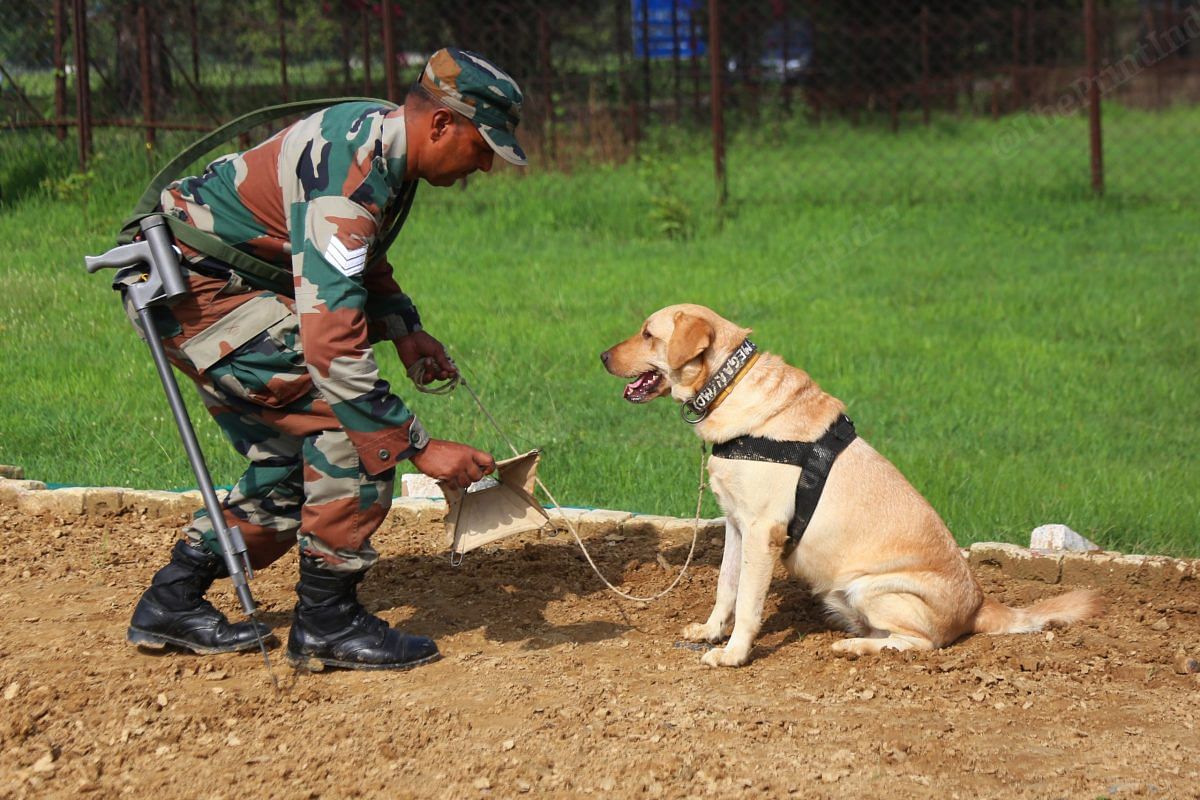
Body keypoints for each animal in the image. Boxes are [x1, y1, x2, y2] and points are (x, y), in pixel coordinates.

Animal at [604, 307, 1099, 671]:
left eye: (647, 334)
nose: (602, 355)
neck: (729, 387)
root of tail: (979, 605)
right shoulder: (735, 525)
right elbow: (726, 587)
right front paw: (710, 633)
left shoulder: (764, 532)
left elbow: (747, 602)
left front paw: (733, 654)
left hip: (872, 589)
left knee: (921, 644)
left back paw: (855, 648)